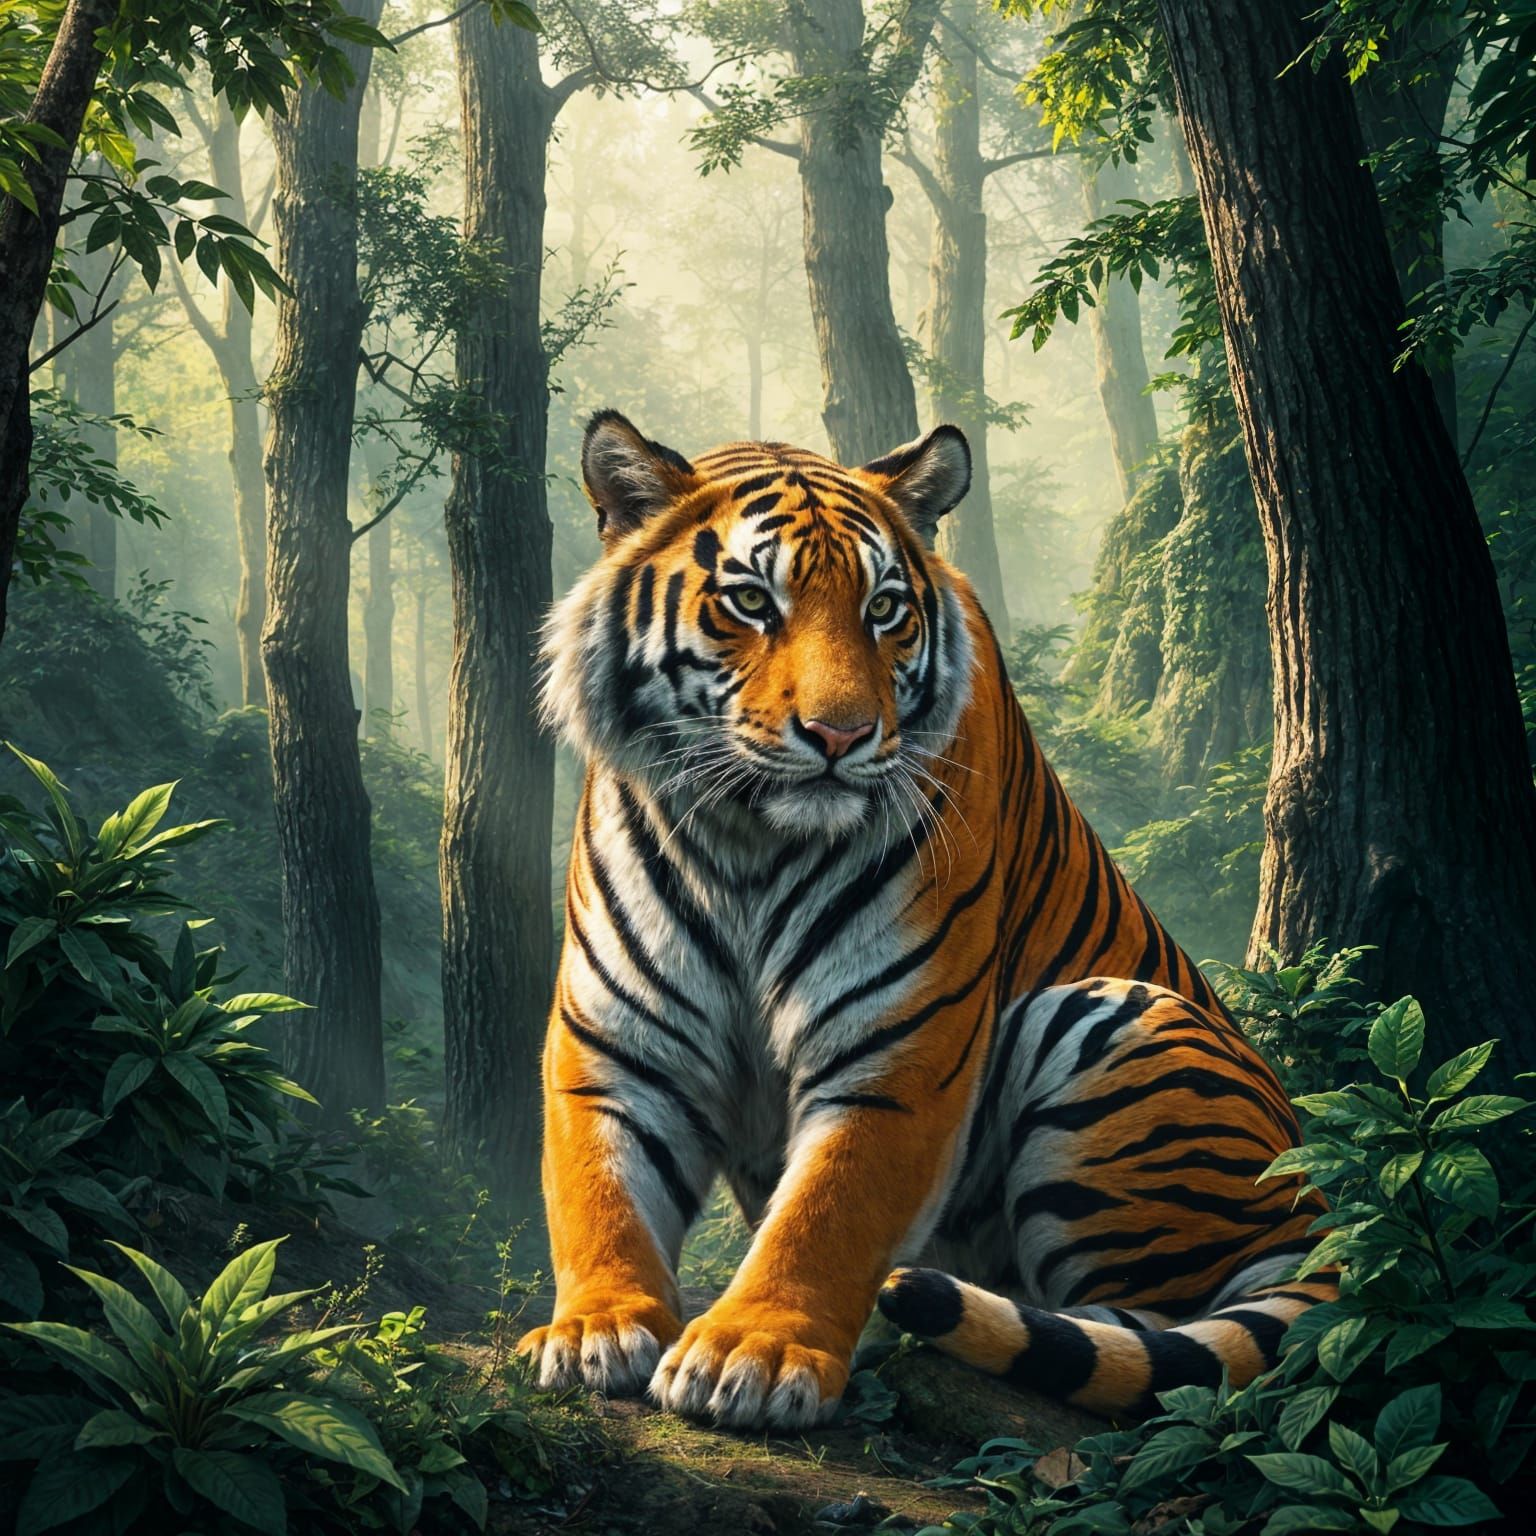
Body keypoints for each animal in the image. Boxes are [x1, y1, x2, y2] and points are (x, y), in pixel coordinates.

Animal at [516, 409, 1332, 1430]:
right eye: (749, 601)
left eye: (883, 610)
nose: (841, 735)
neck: (748, 843)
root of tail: (1312, 1202)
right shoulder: (617, 1043)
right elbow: (601, 1195)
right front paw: (596, 1330)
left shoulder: (898, 1048)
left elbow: (827, 1210)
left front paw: (753, 1354)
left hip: (1115, 1021)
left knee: (1147, 1334)